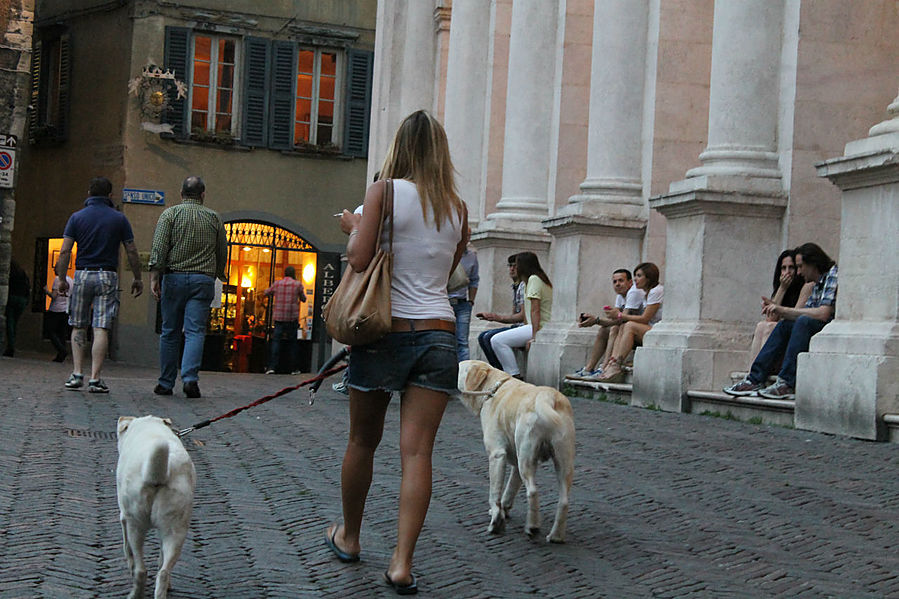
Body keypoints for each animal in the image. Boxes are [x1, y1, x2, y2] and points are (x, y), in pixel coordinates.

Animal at [116, 418, 195, 599]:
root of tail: (160, 475)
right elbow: (160, 557)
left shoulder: (124, 517)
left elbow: (126, 549)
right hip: (176, 530)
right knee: (164, 571)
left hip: (135, 526)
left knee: (140, 570)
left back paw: (135, 594)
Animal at [458, 360, 576, 544]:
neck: (493, 388)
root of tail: (548, 396)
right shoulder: (516, 462)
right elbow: (510, 489)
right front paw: (503, 510)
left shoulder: (497, 455)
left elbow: (494, 493)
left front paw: (496, 520)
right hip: (562, 461)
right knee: (563, 501)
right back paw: (556, 536)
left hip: (526, 459)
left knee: (533, 491)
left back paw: (532, 527)